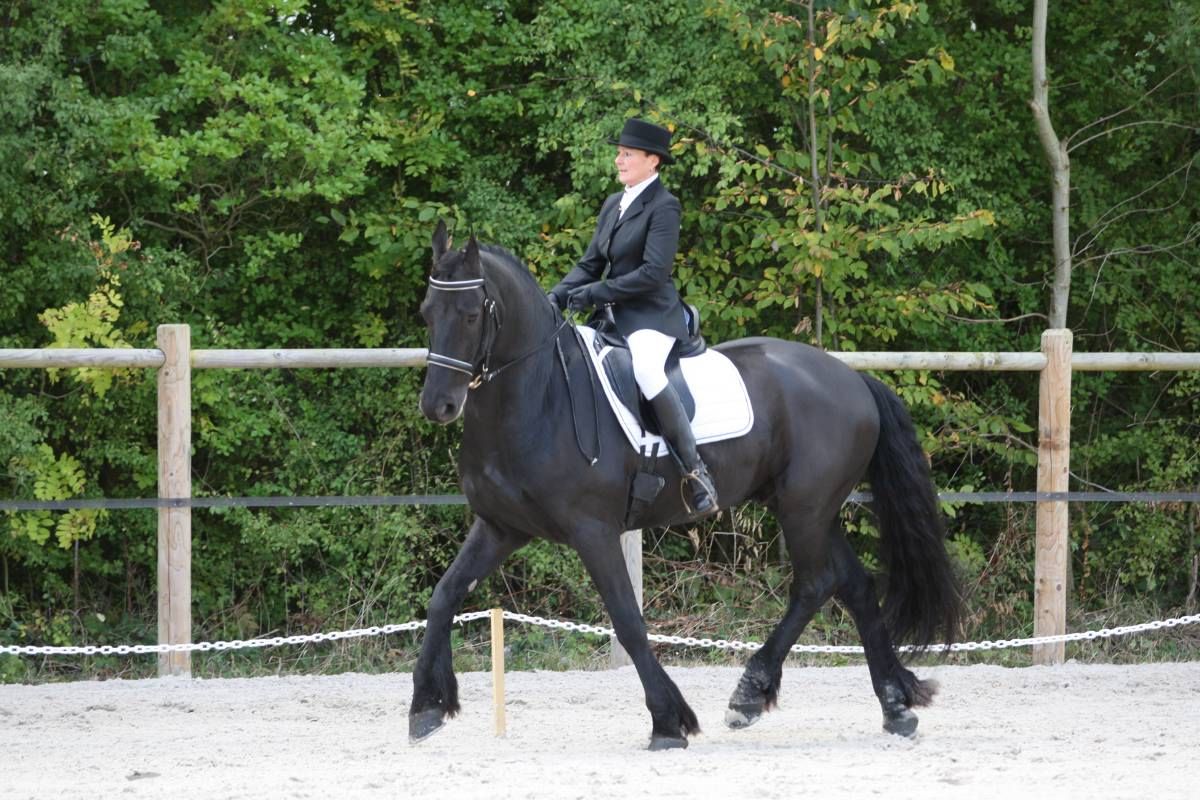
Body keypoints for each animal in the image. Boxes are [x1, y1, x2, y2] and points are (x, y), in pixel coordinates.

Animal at [409, 221, 960, 750]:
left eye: (472, 316)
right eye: (427, 313)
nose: (439, 406)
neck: (538, 396)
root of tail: (850, 377)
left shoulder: (593, 530)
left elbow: (628, 622)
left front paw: (668, 722)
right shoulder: (501, 527)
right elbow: (445, 595)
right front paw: (425, 708)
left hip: (804, 508)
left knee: (816, 584)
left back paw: (749, 696)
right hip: (811, 508)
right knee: (856, 587)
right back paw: (895, 707)